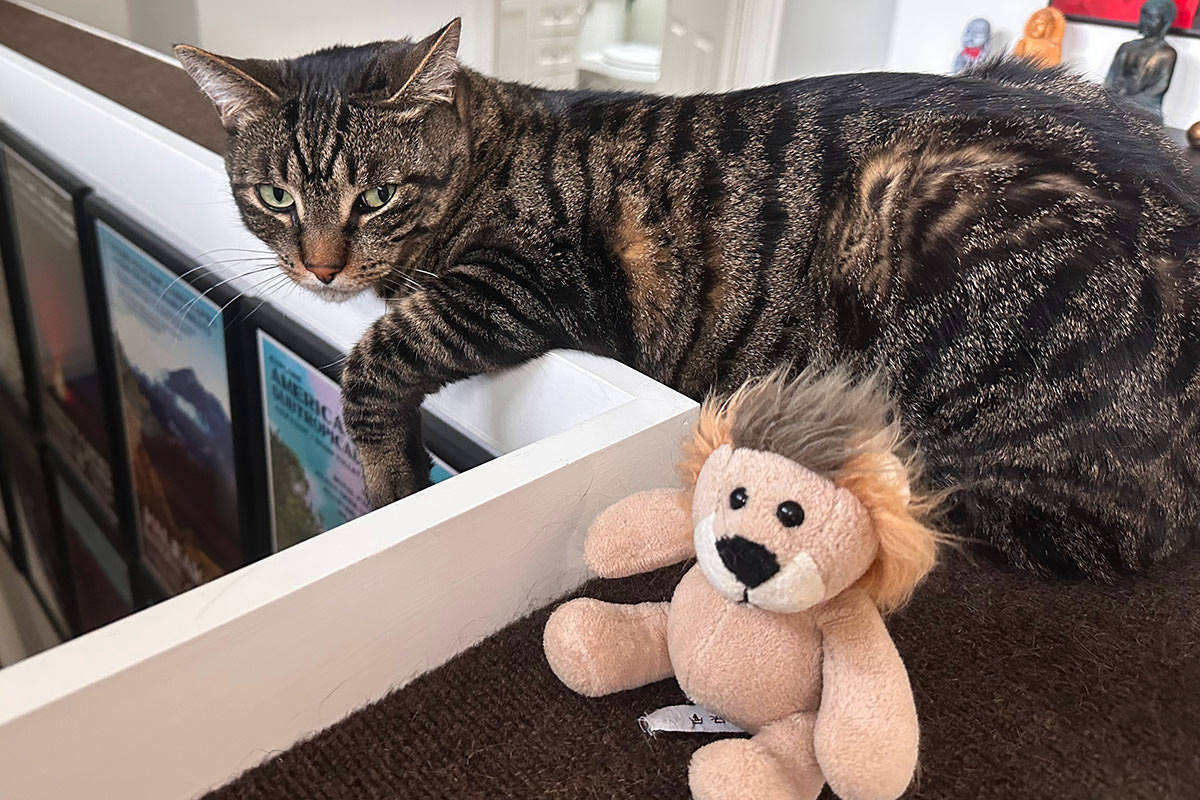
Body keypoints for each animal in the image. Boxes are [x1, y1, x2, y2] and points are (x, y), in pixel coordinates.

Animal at [174, 18, 1200, 582]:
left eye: (377, 196)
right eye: (275, 198)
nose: (321, 267)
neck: (492, 150)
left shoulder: (525, 284)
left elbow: (377, 358)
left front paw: (387, 485)